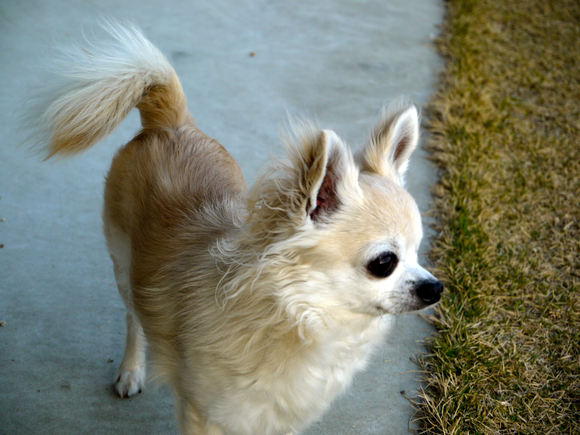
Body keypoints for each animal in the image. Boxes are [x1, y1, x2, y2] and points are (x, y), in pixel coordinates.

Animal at [31, 23, 442, 435]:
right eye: (384, 263)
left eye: (418, 253)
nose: (436, 287)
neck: (297, 316)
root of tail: (172, 123)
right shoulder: (204, 413)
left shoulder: (283, 417)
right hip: (123, 262)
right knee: (134, 318)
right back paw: (130, 371)